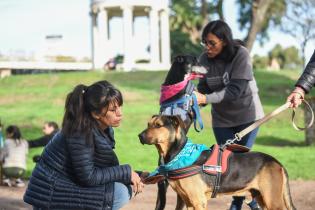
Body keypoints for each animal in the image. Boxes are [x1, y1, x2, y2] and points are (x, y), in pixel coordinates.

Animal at [138, 115, 296, 209]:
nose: (139, 136)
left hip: (272, 200)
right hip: (261, 197)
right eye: (148, 124)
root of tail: (278, 163)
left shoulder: (198, 201)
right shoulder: (185, 200)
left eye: (158, 125)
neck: (180, 153)